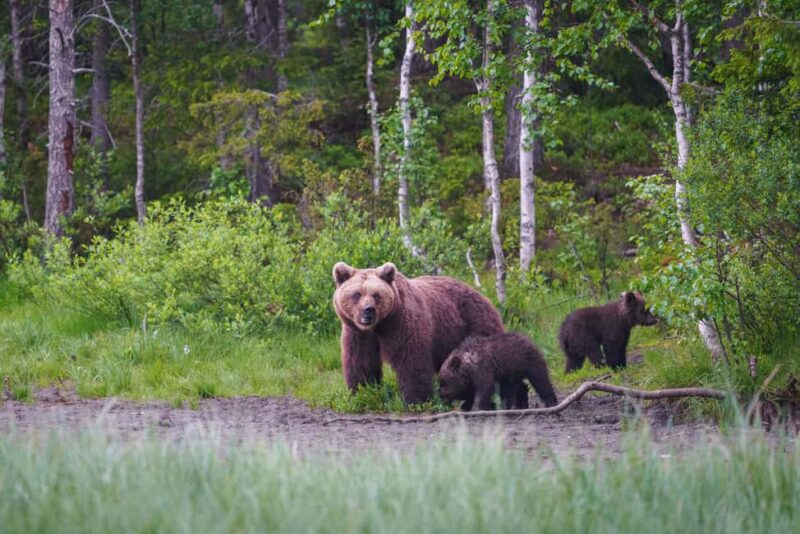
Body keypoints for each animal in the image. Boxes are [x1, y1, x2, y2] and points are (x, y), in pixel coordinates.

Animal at [332, 262, 505, 404]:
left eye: (376, 295)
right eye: (357, 294)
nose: (368, 310)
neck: (380, 326)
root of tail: (483, 296)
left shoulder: (402, 324)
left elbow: (410, 359)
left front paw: (415, 399)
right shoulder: (358, 334)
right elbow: (361, 362)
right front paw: (362, 392)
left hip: (475, 323)